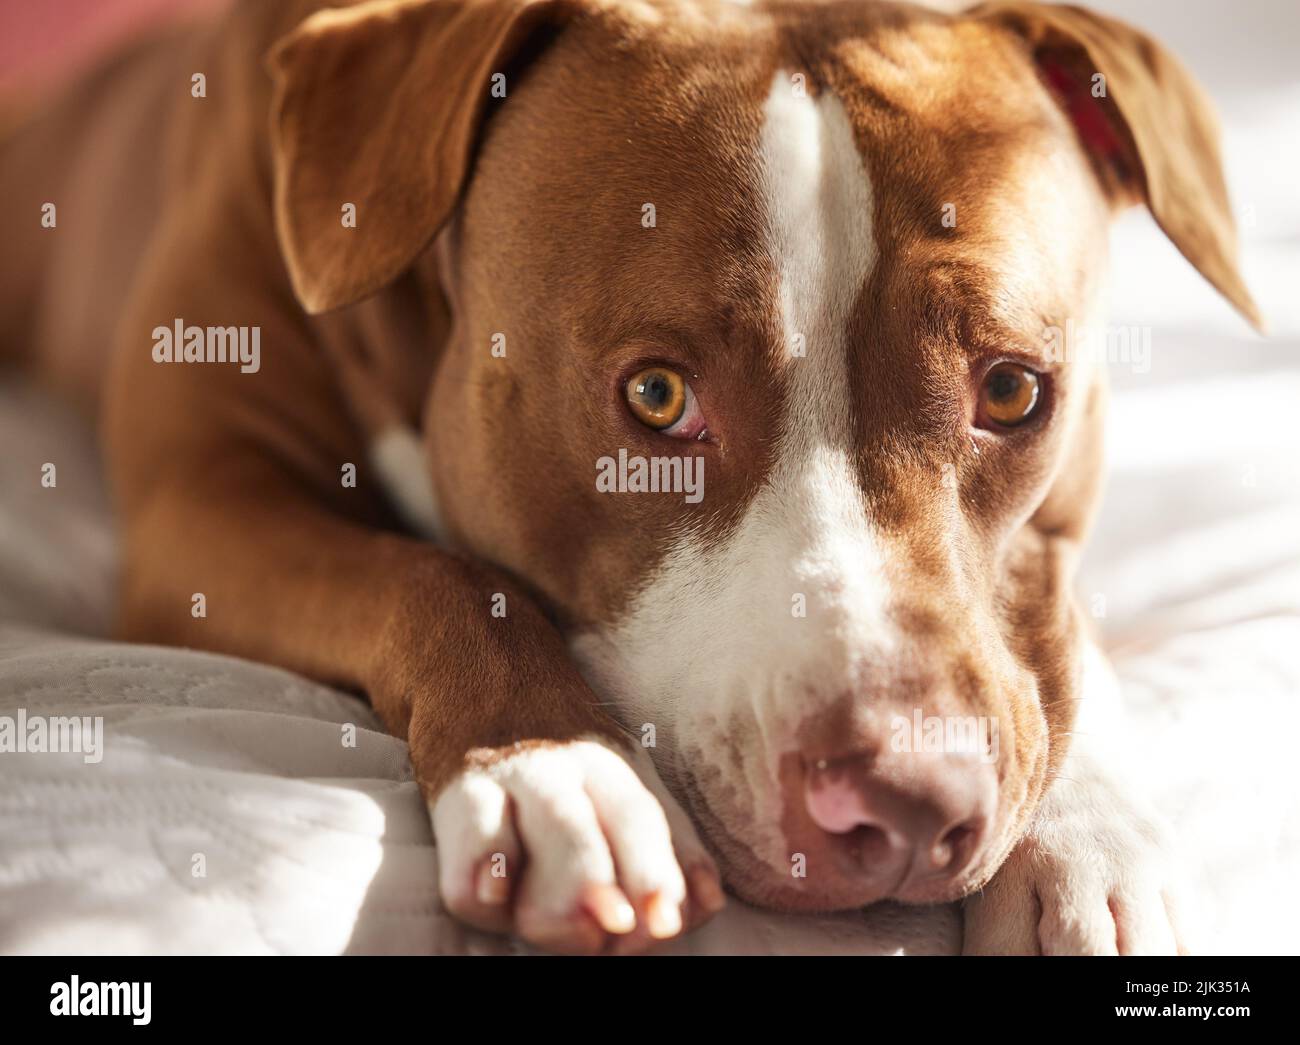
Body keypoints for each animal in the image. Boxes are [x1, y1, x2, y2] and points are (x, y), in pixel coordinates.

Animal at [0, 0, 1258, 951]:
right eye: (656, 396)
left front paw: (1091, 838)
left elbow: (1056, 642)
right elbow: (437, 578)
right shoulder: (203, 507)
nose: (907, 802)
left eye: (1012, 392)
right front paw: (560, 772)